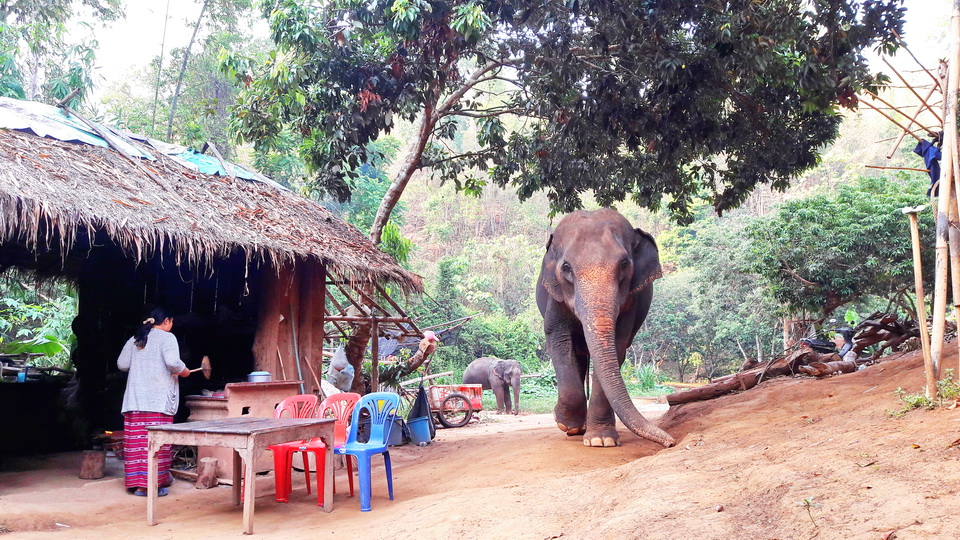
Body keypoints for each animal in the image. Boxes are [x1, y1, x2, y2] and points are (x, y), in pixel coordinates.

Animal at [536, 208, 675, 448]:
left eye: (624, 264)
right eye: (566, 268)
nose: (670, 443)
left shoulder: (630, 301)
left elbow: (618, 343)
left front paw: (602, 440)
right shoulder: (556, 297)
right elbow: (558, 338)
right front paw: (564, 423)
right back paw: (576, 428)